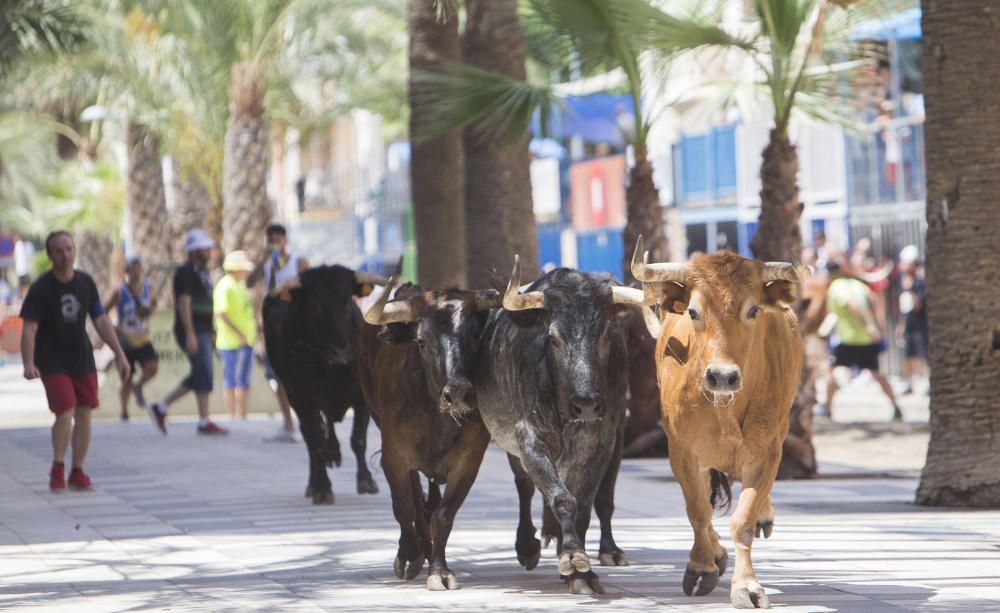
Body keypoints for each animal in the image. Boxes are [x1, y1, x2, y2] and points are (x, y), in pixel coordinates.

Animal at [262, 266, 378, 504]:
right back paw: (315, 481)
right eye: (315, 305)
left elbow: (358, 439)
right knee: (311, 438)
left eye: (347, 301)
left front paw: (366, 481)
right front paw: (323, 489)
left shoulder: (362, 398)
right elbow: (316, 440)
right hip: (294, 396)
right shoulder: (305, 399)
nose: (341, 349)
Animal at [636, 235, 808, 608]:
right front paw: (702, 566)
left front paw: (747, 586)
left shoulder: (767, 452)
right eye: (693, 311)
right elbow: (698, 510)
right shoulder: (681, 451)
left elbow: (743, 521)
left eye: (754, 310)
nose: (723, 376)